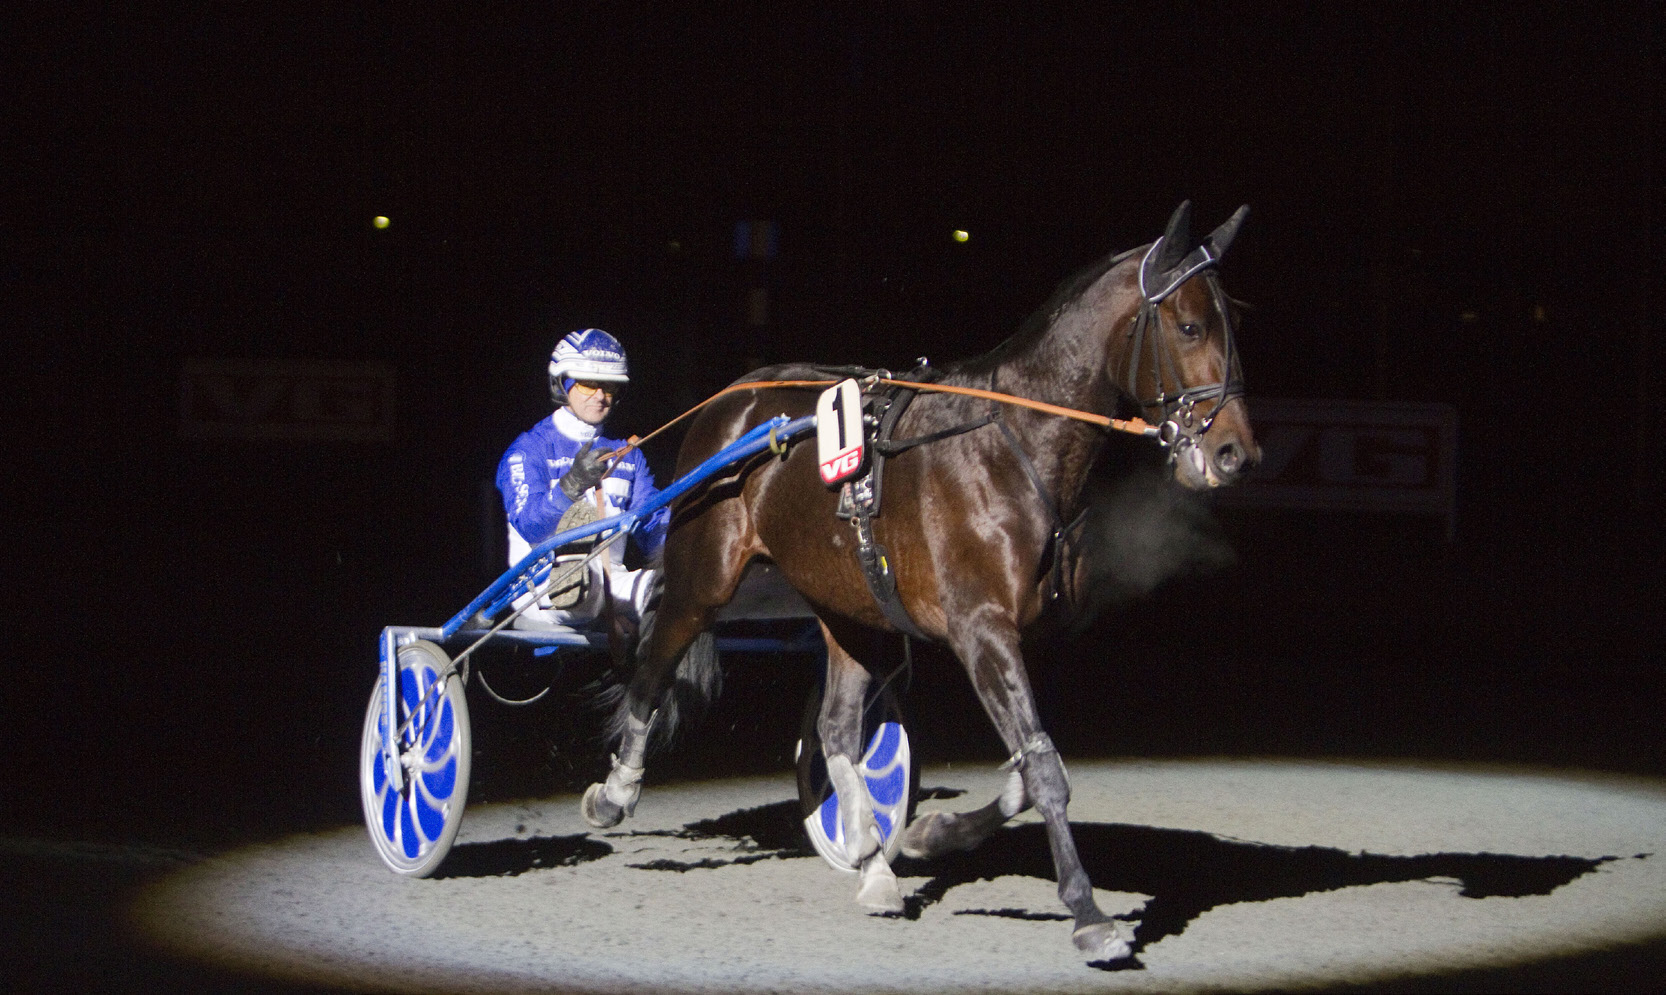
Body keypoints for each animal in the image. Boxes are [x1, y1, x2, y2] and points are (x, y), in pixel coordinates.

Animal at [579, 200, 1252, 953]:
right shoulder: (980, 630)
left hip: (845, 602)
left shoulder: (1012, 635)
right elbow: (1044, 770)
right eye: (1190, 326)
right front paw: (1089, 913)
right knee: (652, 670)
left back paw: (872, 860)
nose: (1236, 451)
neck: (1009, 447)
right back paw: (615, 794)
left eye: (1232, 323)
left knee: (838, 729)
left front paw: (932, 833)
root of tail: (734, 398)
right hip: (704, 575)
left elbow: (1027, 767)